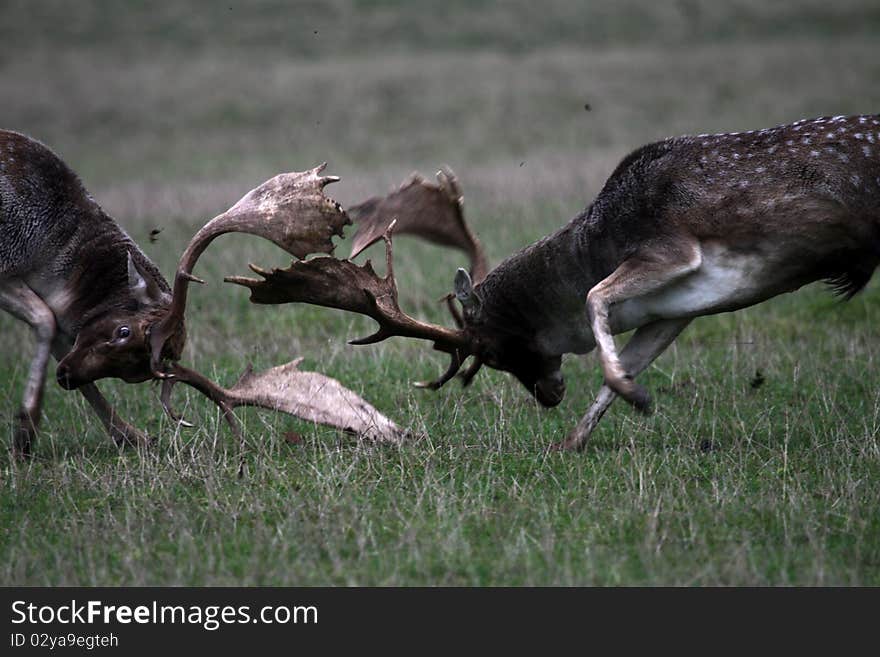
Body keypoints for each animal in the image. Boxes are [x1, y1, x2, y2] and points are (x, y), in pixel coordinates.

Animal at [0, 128, 406, 456]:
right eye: (122, 330)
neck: (48, 253)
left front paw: (129, 436)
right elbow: (47, 320)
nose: (66, 376)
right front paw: (25, 431)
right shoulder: (7, 268)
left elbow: (54, 328)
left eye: (137, 373)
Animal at [218, 114, 880, 452]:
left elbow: (592, 297)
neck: (600, 237)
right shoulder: (678, 306)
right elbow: (630, 356)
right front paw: (576, 440)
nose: (546, 396)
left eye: (491, 351)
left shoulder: (674, 249)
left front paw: (630, 398)